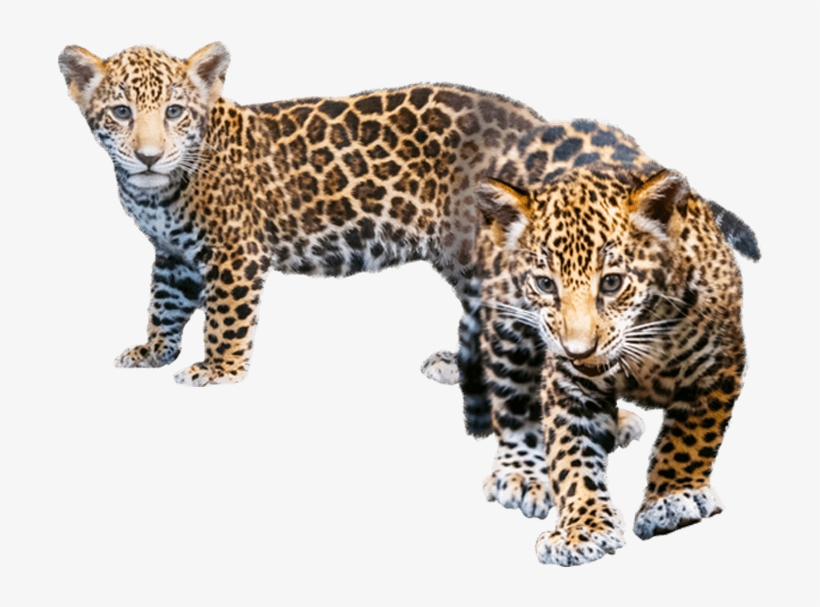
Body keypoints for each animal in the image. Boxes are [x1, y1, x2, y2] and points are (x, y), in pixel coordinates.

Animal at [58, 42, 758, 399]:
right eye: (120, 112)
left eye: (176, 112)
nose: (149, 154)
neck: (155, 192)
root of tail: (542, 124)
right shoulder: (174, 255)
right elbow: (163, 302)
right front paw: (153, 351)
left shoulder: (234, 252)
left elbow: (227, 318)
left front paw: (218, 372)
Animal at [468, 121, 752, 566]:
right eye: (545, 284)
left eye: (613, 282)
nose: (578, 350)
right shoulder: (566, 385)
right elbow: (570, 459)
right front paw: (582, 529)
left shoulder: (721, 363)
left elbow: (691, 436)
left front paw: (672, 498)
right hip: (507, 326)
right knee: (513, 404)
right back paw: (521, 472)